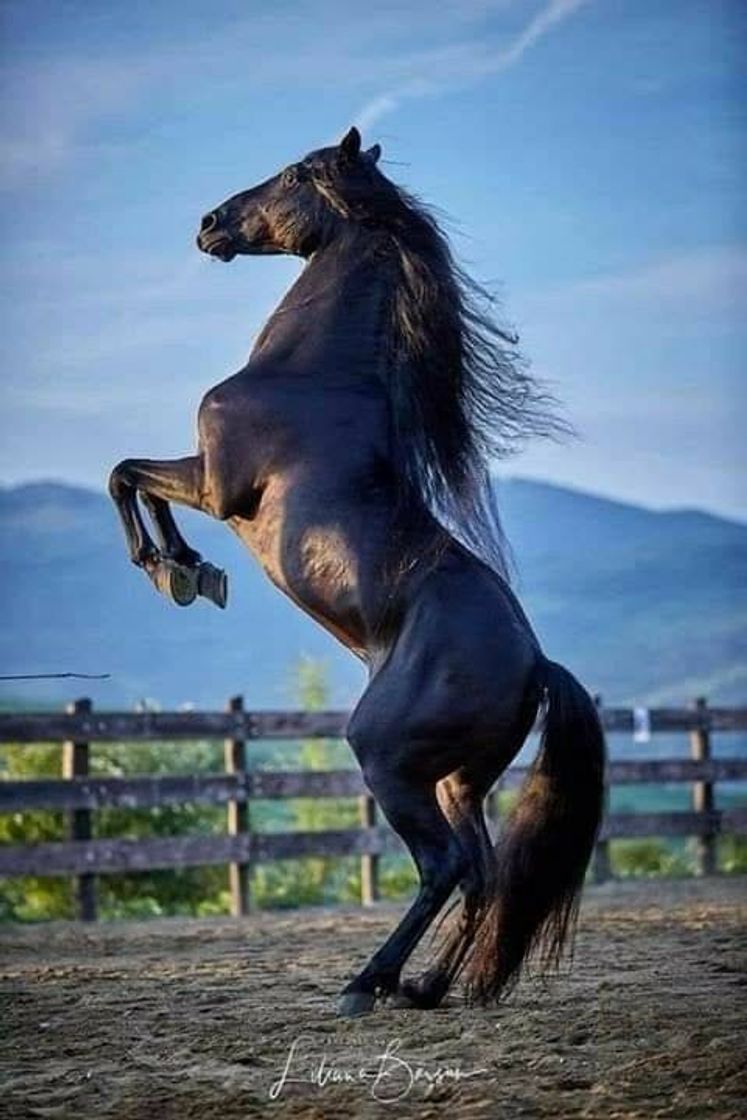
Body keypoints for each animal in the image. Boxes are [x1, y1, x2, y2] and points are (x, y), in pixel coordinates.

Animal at [109, 127, 605, 1016]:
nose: (209, 224)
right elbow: (131, 474)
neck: (313, 377)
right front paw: (191, 572)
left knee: (445, 866)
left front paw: (174, 570)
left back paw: (365, 984)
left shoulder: (217, 483)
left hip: (387, 759)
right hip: (455, 780)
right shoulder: (206, 480)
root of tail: (536, 666)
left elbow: (126, 473)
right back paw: (428, 989)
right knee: (480, 873)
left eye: (293, 174)